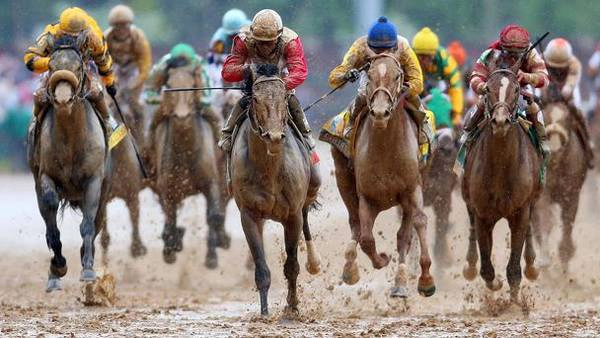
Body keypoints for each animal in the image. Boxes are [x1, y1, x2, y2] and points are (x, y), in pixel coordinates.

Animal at [28, 41, 110, 294]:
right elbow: (51, 220)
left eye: (79, 67)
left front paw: (88, 270)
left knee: (96, 221)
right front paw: (58, 267)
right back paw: (54, 275)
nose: (63, 98)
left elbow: (88, 225)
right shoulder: (45, 176)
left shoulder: (94, 181)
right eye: (51, 66)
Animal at [231, 64, 324, 316]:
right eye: (255, 98)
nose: (273, 137)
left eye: (283, 97)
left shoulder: (292, 215)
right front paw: (264, 311)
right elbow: (261, 268)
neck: (270, 169)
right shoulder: (248, 214)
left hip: (310, 189)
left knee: (306, 219)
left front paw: (292, 307)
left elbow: (292, 265)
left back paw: (314, 262)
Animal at [332, 52, 436, 298]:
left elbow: (418, 223)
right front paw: (382, 259)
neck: (386, 148)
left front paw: (425, 280)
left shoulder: (412, 189)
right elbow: (367, 238)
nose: (380, 112)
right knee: (356, 225)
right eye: (368, 74)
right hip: (344, 181)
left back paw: (401, 283)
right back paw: (350, 268)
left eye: (398, 75)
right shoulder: (367, 197)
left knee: (403, 235)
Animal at [462, 67, 540, 300]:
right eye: (488, 89)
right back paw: (469, 266)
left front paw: (515, 303)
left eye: (516, 89)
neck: (501, 168)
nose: (500, 121)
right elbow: (486, 267)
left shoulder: (521, 211)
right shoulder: (482, 214)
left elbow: (514, 266)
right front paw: (495, 283)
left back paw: (532, 266)